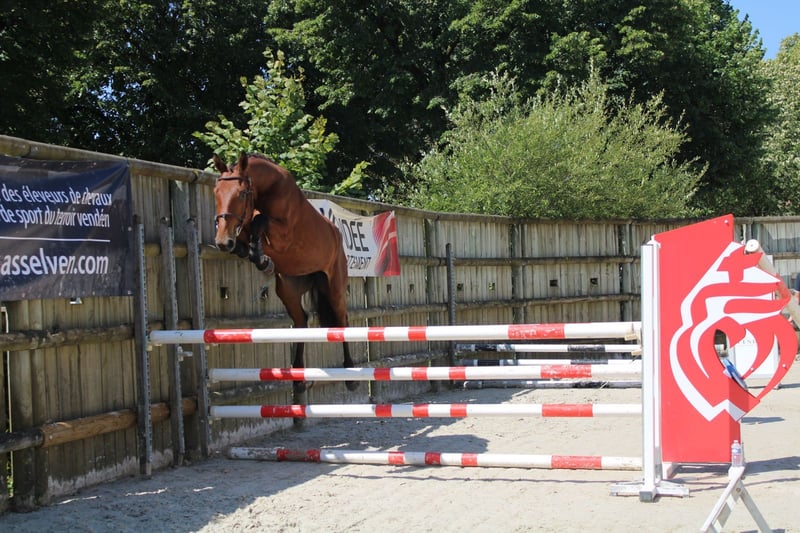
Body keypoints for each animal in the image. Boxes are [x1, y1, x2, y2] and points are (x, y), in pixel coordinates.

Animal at [212, 152, 357, 393]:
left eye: (241, 194)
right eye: (216, 192)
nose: (222, 241)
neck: (268, 189)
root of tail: (338, 234)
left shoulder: (283, 235)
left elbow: (259, 221)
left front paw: (259, 254)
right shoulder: (242, 230)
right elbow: (247, 237)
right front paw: (260, 258)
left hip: (334, 286)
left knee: (341, 318)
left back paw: (350, 374)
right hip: (288, 289)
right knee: (301, 320)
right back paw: (298, 377)